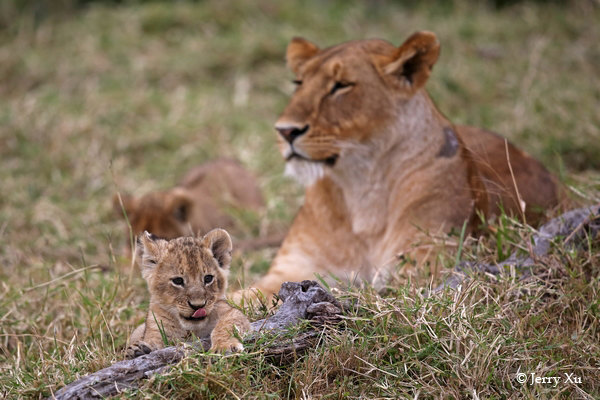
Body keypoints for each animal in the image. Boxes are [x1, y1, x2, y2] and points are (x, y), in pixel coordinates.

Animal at [237, 31, 560, 300]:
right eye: (299, 83)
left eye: (341, 86)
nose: (285, 131)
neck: (360, 187)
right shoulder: (292, 271)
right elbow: (239, 300)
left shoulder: (421, 271)